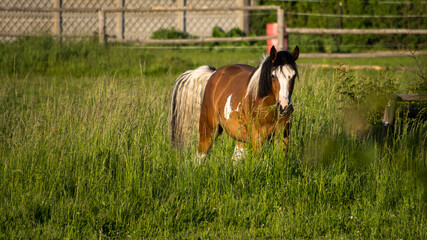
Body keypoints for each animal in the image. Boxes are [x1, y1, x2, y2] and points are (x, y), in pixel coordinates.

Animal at [169, 46, 300, 163]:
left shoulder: (283, 136)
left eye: (293, 76)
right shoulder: (257, 137)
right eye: (273, 75)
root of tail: (213, 73)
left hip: (240, 138)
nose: (284, 106)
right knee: (200, 155)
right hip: (209, 128)